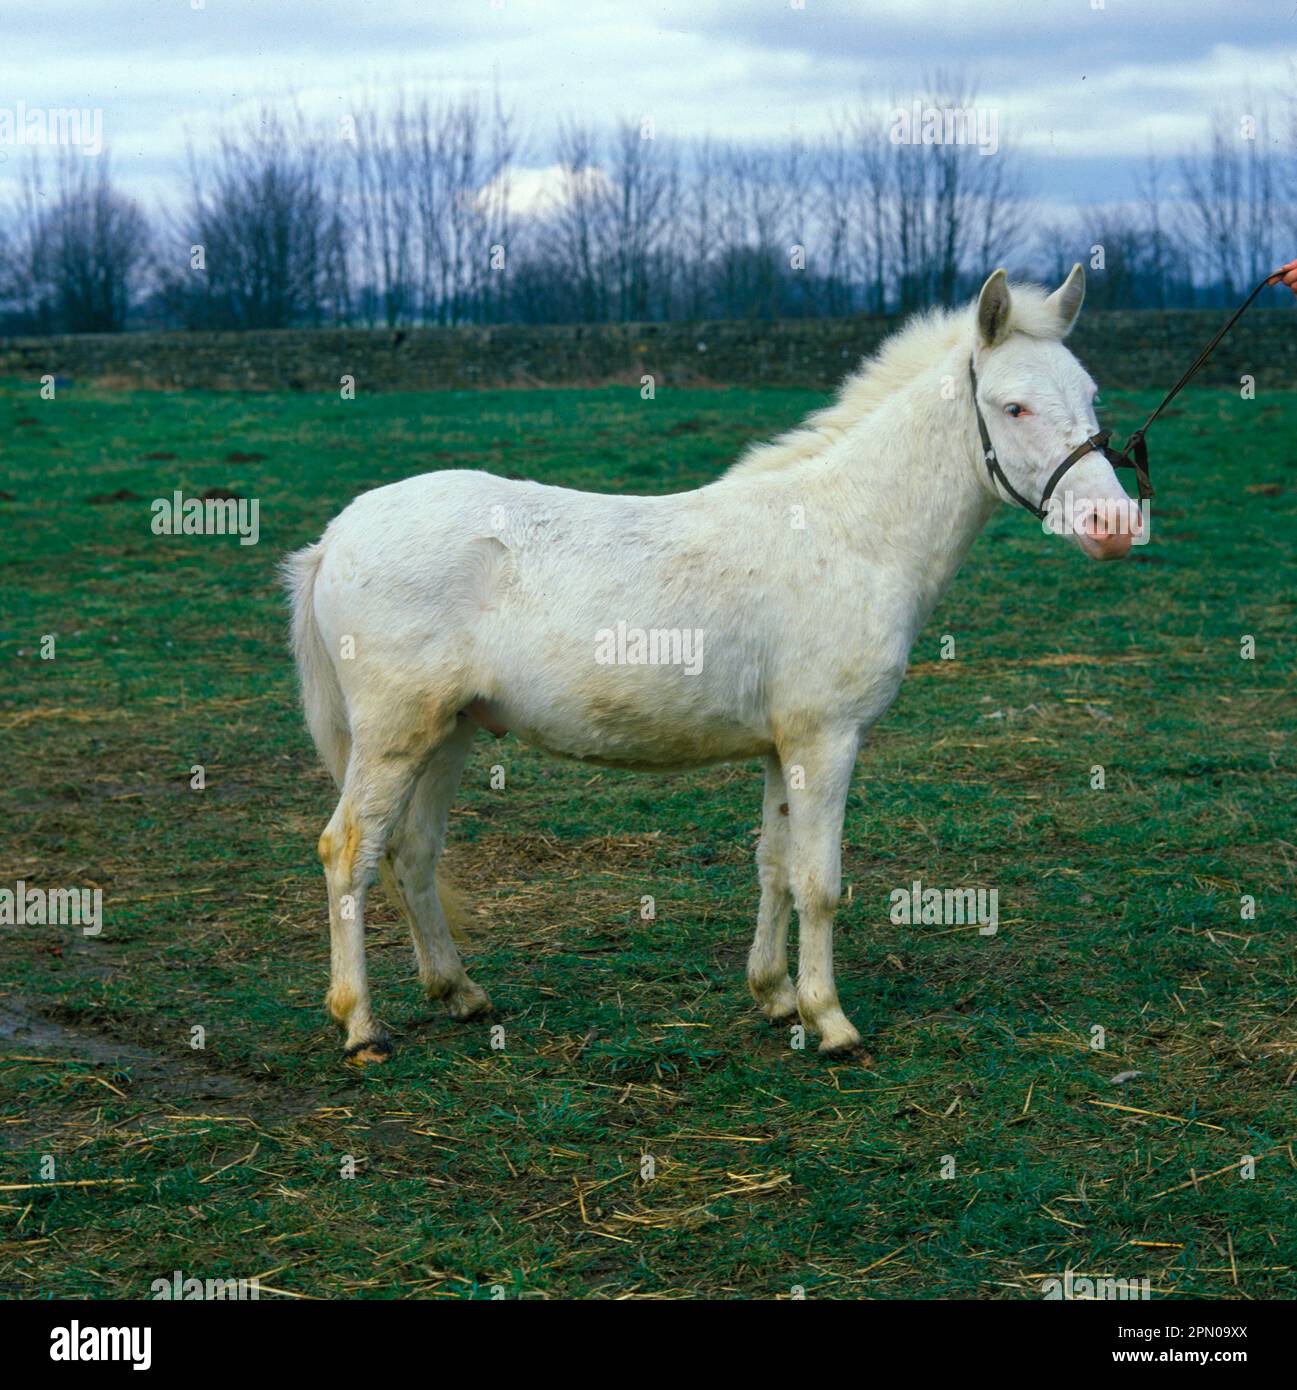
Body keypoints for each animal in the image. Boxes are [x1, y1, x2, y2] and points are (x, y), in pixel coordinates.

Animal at [280, 262, 1134, 1061]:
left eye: (1091, 396)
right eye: (1013, 407)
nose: (1114, 525)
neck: (851, 531)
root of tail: (336, 535)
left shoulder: (781, 747)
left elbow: (774, 866)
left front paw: (776, 996)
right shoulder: (826, 739)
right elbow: (819, 883)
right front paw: (831, 1021)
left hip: (448, 731)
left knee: (413, 852)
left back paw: (459, 992)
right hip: (396, 734)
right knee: (348, 851)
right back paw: (360, 1025)